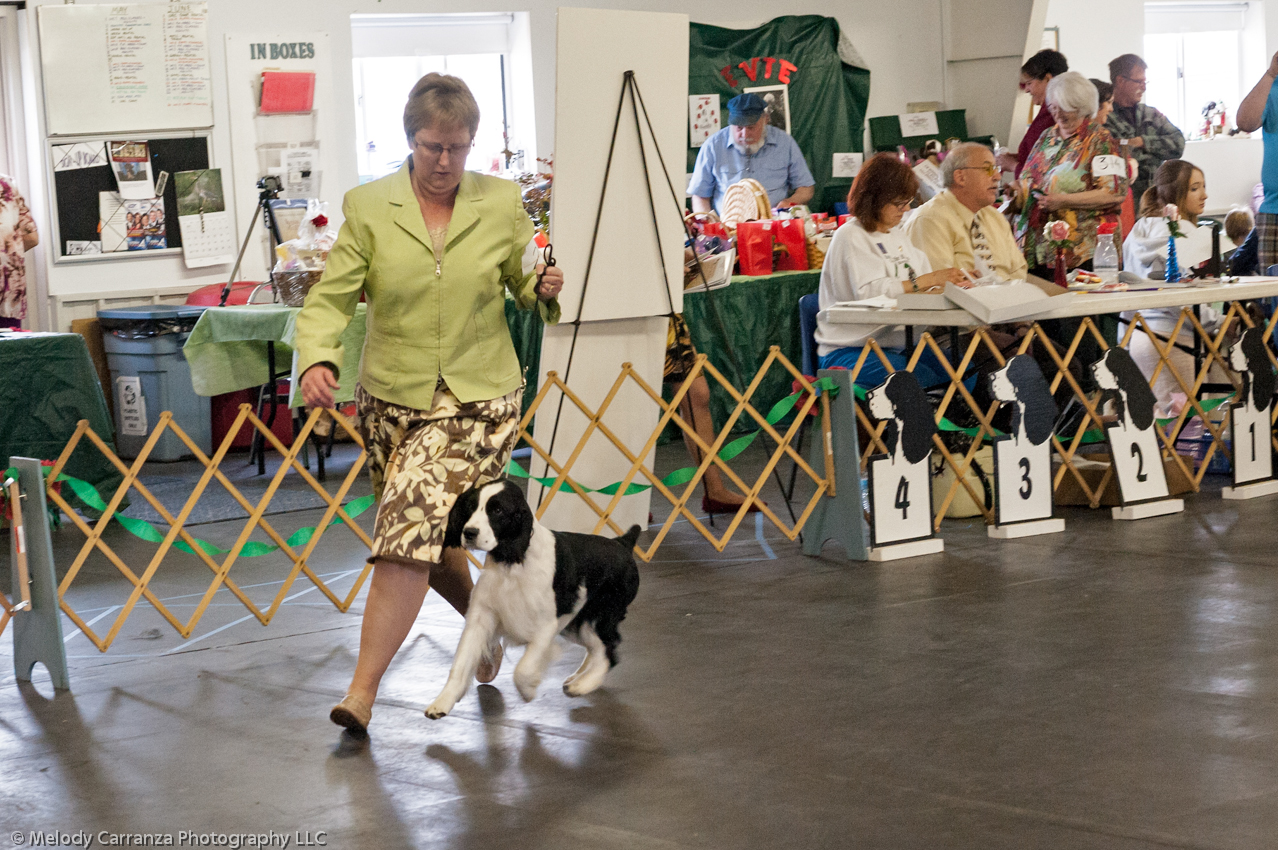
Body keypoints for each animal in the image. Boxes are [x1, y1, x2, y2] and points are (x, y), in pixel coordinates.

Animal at [426, 478, 639, 715]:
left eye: (498, 510)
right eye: (470, 507)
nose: (469, 532)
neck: (511, 563)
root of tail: (623, 543)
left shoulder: (546, 624)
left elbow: (524, 668)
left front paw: (528, 690)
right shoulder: (481, 617)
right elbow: (461, 663)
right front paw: (441, 703)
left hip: (601, 615)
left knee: (609, 649)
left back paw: (581, 685)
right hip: (576, 623)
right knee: (596, 647)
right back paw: (577, 678)